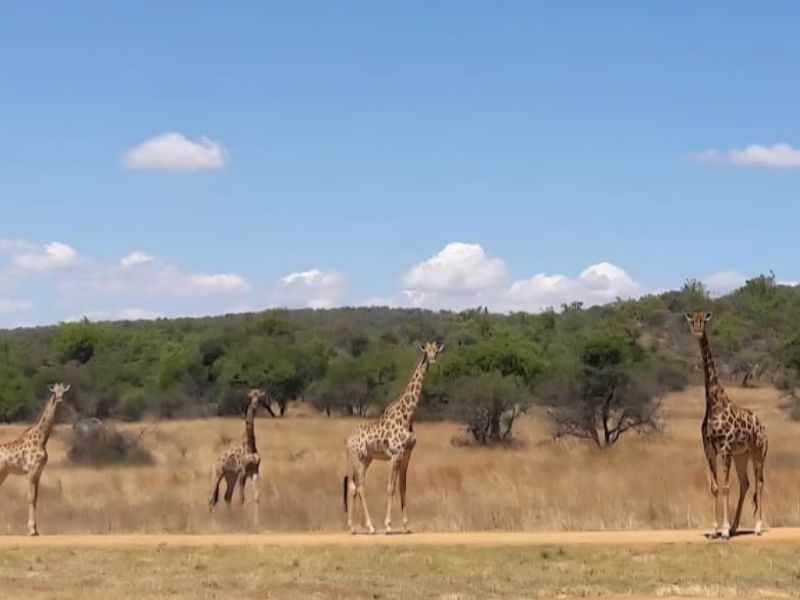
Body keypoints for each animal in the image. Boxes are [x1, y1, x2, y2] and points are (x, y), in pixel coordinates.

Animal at [0, 383, 70, 536]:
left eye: (64, 392)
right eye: (55, 392)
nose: (60, 400)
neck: (42, 439)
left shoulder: (39, 471)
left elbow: (36, 498)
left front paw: (36, 530)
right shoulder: (31, 470)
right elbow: (30, 498)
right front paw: (31, 530)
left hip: (3, 473)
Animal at [209, 388, 267, 524]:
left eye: (259, 397)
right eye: (251, 396)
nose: (254, 405)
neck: (250, 444)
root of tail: (216, 460)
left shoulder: (255, 471)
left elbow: (257, 497)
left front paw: (256, 523)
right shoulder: (242, 472)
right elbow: (241, 499)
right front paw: (243, 521)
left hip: (231, 477)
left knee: (227, 497)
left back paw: (229, 519)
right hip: (218, 473)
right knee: (211, 498)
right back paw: (211, 520)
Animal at [344, 341, 444, 534]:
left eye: (436, 351)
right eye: (426, 352)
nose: (433, 360)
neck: (407, 415)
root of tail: (347, 441)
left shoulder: (406, 455)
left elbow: (403, 487)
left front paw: (406, 525)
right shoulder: (395, 455)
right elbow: (390, 488)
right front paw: (388, 525)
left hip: (365, 460)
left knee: (353, 487)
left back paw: (352, 527)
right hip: (357, 459)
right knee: (360, 487)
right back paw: (371, 527)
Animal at [685, 311, 768, 539]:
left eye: (704, 320)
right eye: (692, 320)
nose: (697, 331)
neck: (714, 403)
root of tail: (764, 429)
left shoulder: (725, 448)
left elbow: (726, 486)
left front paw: (722, 530)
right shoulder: (709, 449)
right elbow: (715, 487)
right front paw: (715, 529)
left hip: (758, 453)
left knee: (759, 483)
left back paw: (757, 527)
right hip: (742, 455)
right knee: (746, 483)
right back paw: (735, 526)